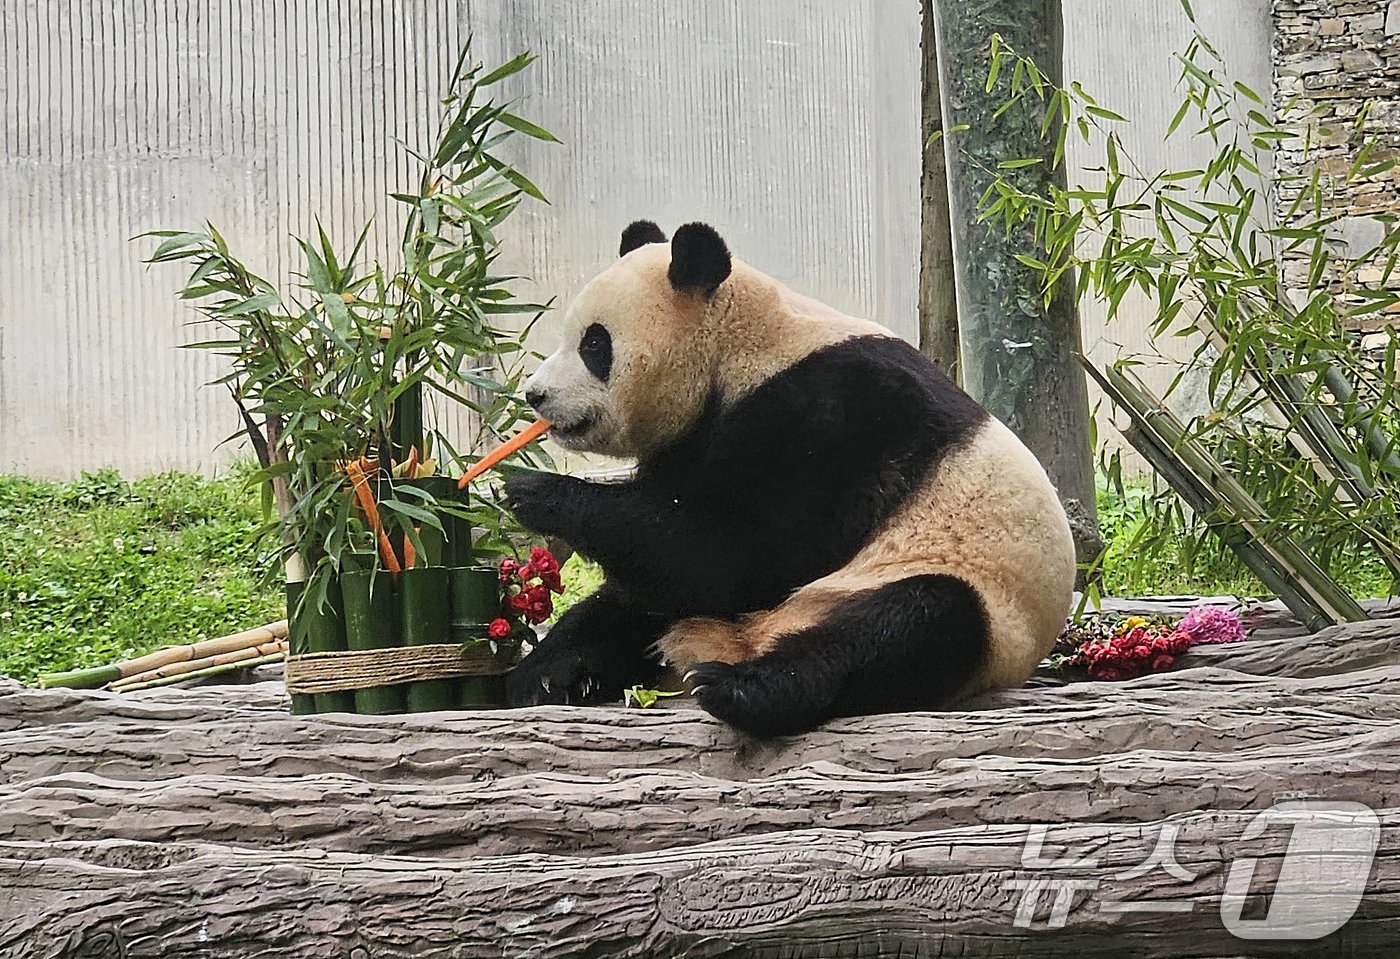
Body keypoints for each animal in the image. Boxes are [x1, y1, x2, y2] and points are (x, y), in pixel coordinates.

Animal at [501, 222, 1069, 733]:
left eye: (595, 345)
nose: (536, 395)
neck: (741, 347)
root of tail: (745, 641)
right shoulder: (692, 438)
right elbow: (671, 550)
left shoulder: (834, 415)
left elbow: (735, 553)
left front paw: (535, 491)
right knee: (624, 610)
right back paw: (545, 677)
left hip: (972, 608)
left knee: (912, 623)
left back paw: (742, 689)